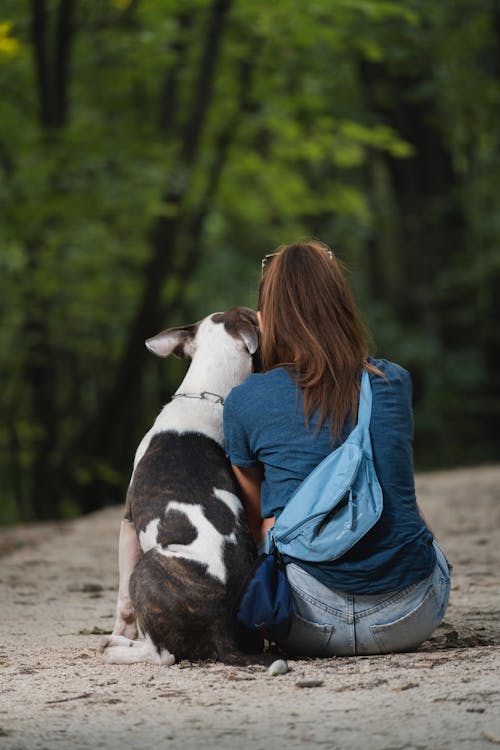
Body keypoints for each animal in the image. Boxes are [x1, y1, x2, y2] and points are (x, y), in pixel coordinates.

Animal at [103, 308, 262, 668]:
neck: (209, 398)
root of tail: (219, 619)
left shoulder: (127, 523)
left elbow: (123, 601)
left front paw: (122, 630)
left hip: (147, 568)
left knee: (162, 655)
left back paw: (118, 648)